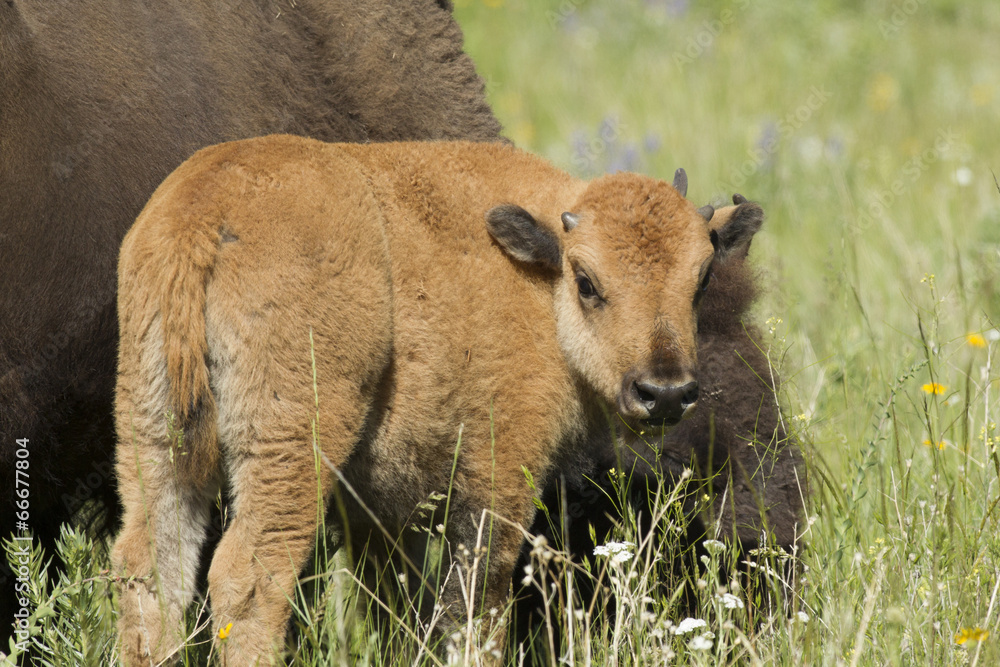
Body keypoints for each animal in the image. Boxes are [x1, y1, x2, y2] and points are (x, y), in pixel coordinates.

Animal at [110, 135, 764, 665]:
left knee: (151, 565)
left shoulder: (380, 512)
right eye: (587, 282)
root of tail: (204, 209)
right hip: (290, 443)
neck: (538, 278)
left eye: (702, 279)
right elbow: (475, 602)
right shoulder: (498, 473)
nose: (665, 392)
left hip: (152, 428)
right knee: (248, 576)